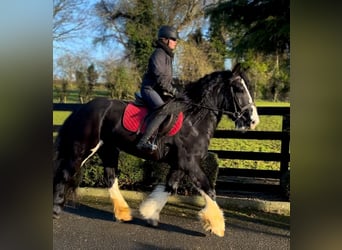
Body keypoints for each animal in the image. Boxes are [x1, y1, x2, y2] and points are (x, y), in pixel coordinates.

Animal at [52, 62, 260, 236]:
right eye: (239, 88)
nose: (253, 120)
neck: (194, 119)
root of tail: (81, 108)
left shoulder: (180, 164)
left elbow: (169, 187)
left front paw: (150, 214)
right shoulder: (190, 162)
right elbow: (208, 189)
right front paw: (216, 226)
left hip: (108, 150)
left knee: (110, 178)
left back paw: (123, 213)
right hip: (82, 149)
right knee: (65, 173)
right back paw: (56, 209)